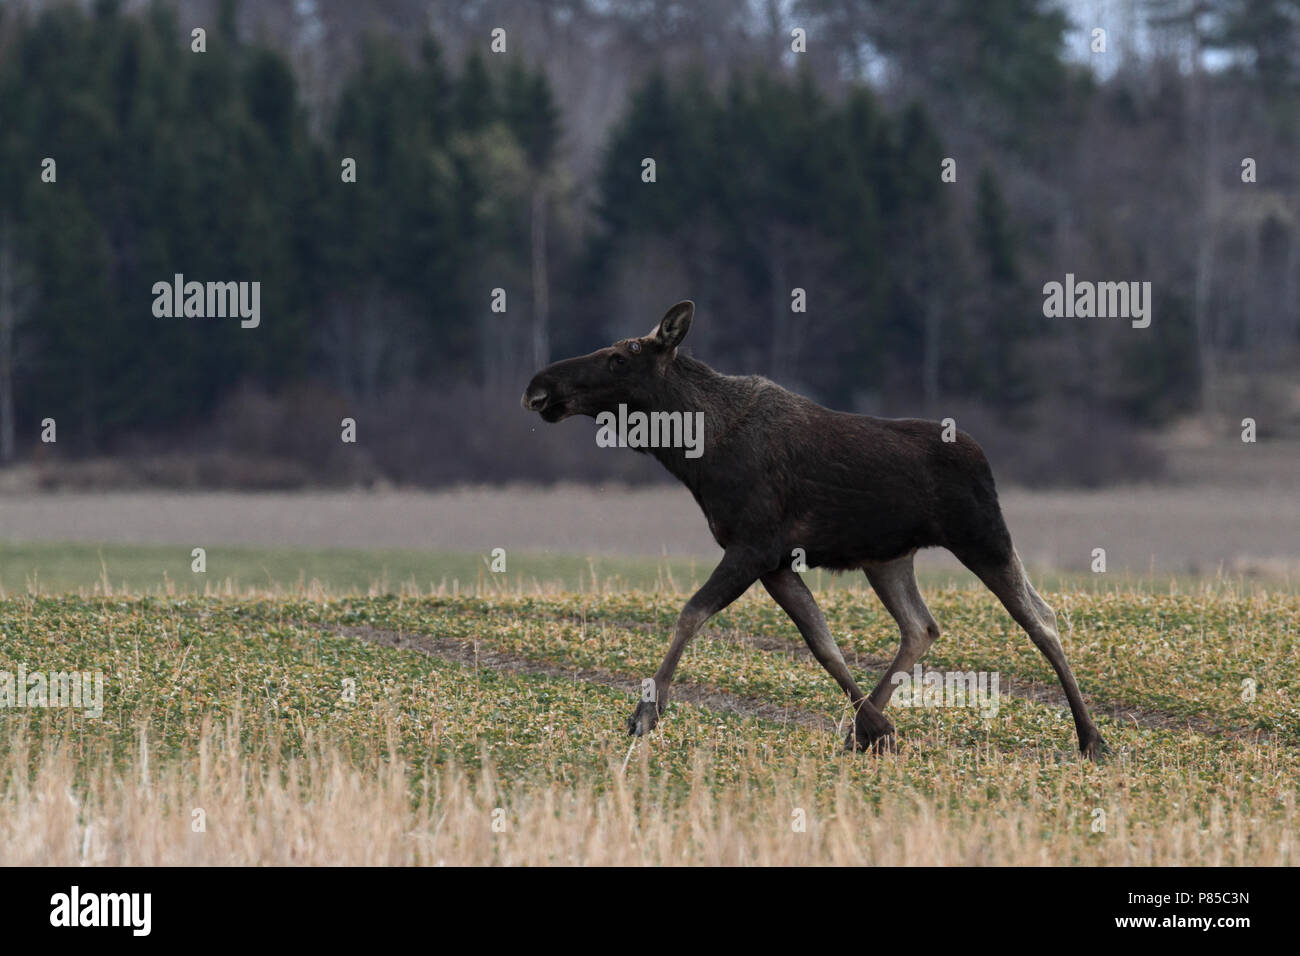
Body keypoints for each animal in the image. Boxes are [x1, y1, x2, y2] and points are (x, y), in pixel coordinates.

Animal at [520, 303, 1107, 759]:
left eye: (620, 357)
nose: (538, 386)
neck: (695, 453)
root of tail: (982, 455)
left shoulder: (753, 547)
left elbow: (691, 613)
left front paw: (647, 712)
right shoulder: (777, 563)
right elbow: (823, 644)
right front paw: (876, 728)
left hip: (982, 535)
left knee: (1040, 618)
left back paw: (1092, 738)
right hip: (888, 557)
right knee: (921, 626)